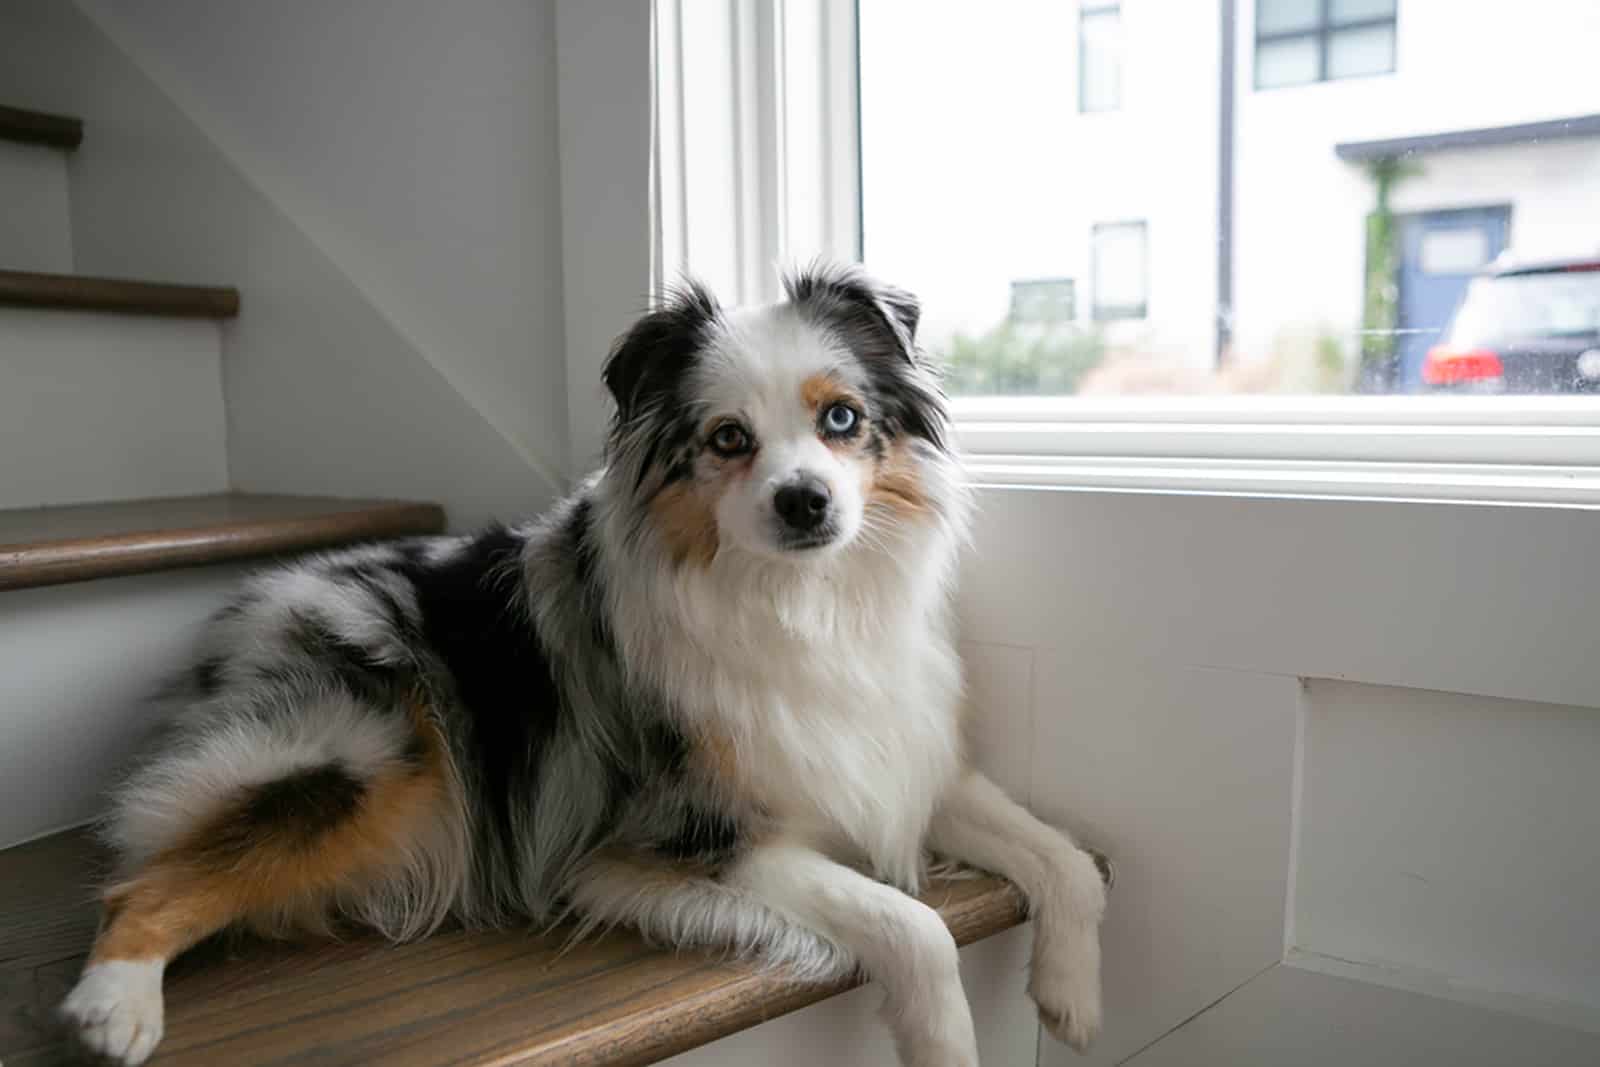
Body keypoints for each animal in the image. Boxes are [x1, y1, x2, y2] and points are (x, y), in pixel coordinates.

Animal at [65, 262, 1113, 1062]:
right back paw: (114, 1005)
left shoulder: (906, 763)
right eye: (728, 438)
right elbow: (916, 926)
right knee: (137, 882)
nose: (805, 501)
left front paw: (1073, 993)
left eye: (842, 419)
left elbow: (1066, 858)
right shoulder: (697, 835)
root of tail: (249, 605)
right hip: (369, 755)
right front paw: (949, 1039)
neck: (799, 602)